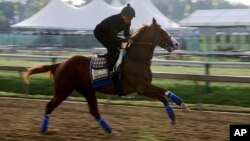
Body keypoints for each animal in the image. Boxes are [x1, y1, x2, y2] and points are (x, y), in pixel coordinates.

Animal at [24, 18, 189, 133]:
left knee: (94, 111)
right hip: (63, 91)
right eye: (162, 32)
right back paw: (43, 129)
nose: (176, 44)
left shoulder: (142, 89)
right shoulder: (141, 87)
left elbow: (162, 96)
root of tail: (61, 64)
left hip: (87, 90)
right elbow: (164, 91)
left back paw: (110, 130)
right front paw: (182, 105)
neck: (137, 59)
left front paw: (173, 117)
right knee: (49, 106)